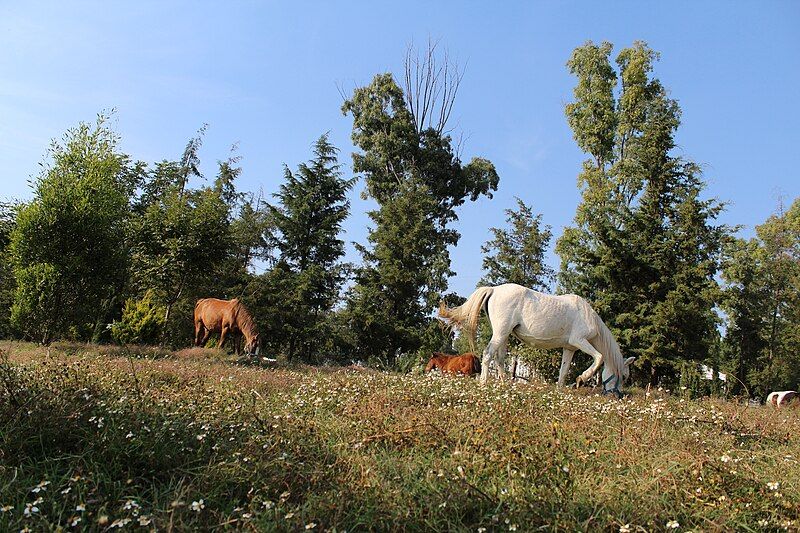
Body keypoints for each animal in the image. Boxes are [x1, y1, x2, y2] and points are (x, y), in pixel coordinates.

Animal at [438, 282, 636, 394]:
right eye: (624, 376)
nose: (618, 396)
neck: (587, 315)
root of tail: (494, 290)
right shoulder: (579, 341)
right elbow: (599, 357)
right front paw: (582, 378)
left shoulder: (569, 348)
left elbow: (563, 371)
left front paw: (559, 392)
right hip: (501, 333)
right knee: (488, 355)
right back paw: (484, 384)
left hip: (504, 335)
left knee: (499, 359)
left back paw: (504, 385)